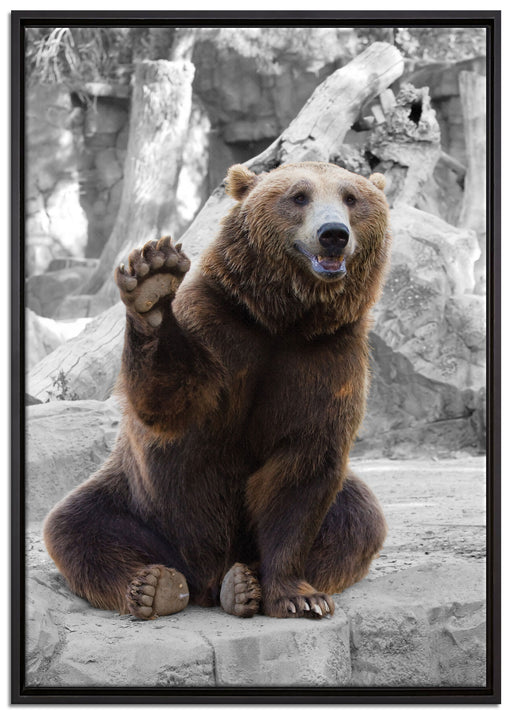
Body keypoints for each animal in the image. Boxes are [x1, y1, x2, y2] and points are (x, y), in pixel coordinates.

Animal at [43, 161, 390, 620]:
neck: (285, 319)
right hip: (139, 503)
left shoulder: (328, 358)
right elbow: (171, 401)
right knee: (76, 527)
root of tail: (203, 578)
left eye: (352, 197)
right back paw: (155, 586)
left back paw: (242, 583)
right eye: (299, 196)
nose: (334, 233)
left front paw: (299, 596)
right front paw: (153, 283)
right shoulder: (219, 326)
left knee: (358, 521)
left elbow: (303, 471)